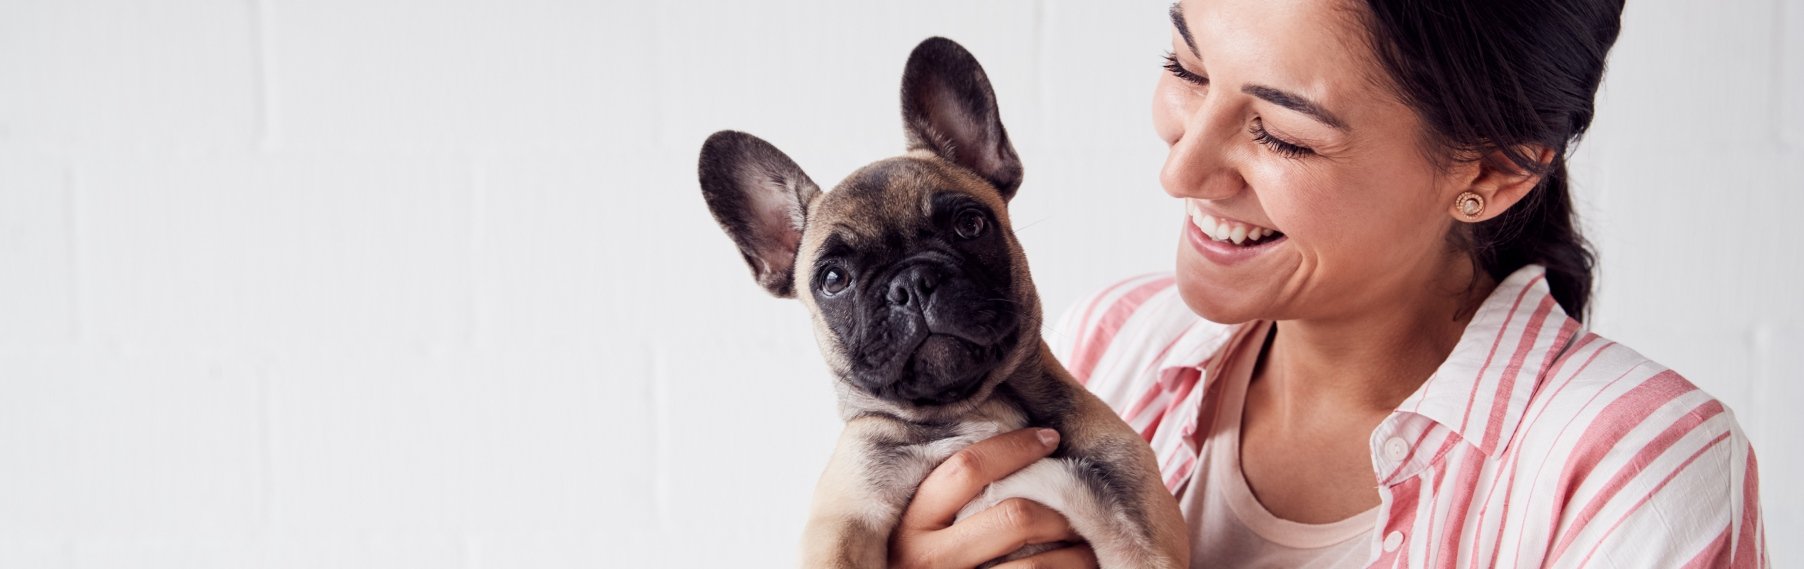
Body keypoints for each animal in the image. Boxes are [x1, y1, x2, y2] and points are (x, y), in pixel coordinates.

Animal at [696, 37, 1190, 567]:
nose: (912, 283)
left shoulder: (1134, 521)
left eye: (969, 225)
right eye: (833, 279)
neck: (976, 409)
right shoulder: (846, 515)